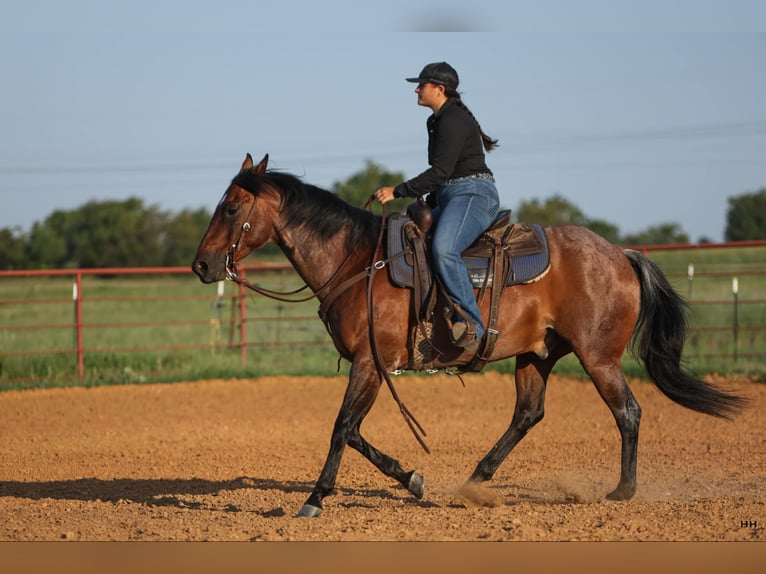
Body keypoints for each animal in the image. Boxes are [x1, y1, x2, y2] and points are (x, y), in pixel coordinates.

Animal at [194, 155, 752, 520]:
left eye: (230, 208)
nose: (201, 265)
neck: (357, 262)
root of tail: (621, 254)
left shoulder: (369, 363)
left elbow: (341, 427)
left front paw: (314, 499)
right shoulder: (372, 366)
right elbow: (353, 431)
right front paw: (412, 479)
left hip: (598, 357)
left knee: (628, 411)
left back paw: (622, 491)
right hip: (537, 355)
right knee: (528, 414)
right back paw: (475, 480)